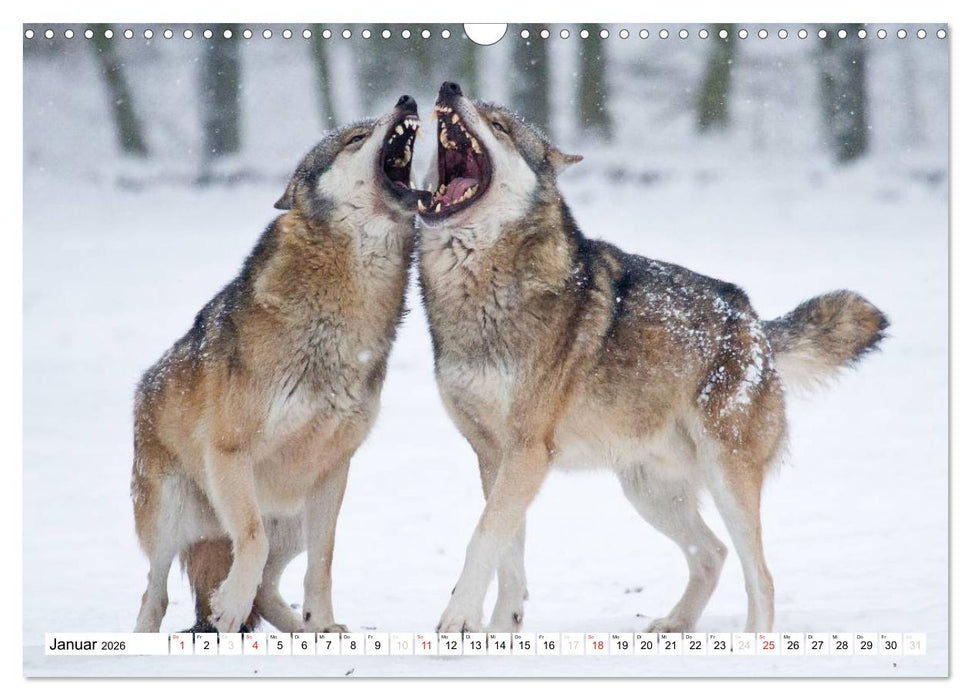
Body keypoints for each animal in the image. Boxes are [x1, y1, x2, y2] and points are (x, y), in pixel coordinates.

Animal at [132, 95, 426, 633]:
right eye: (355, 138)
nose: (407, 100)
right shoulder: (229, 453)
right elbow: (249, 537)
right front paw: (229, 603)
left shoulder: (333, 470)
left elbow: (324, 563)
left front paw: (323, 624)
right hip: (169, 519)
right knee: (155, 594)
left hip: (293, 521)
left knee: (268, 591)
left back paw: (307, 630)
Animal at [417, 82, 888, 634]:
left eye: (500, 126)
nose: (450, 87)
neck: (477, 294)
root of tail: (755, 323)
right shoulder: (492, 457)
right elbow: (507, 553)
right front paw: (500, 630)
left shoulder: (527, 453)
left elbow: (482, 539)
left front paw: (457, 619)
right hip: (647, 492)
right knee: (712, 554)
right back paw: (674, 625)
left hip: (726, 479)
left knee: (761, 576)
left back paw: (752, 638)